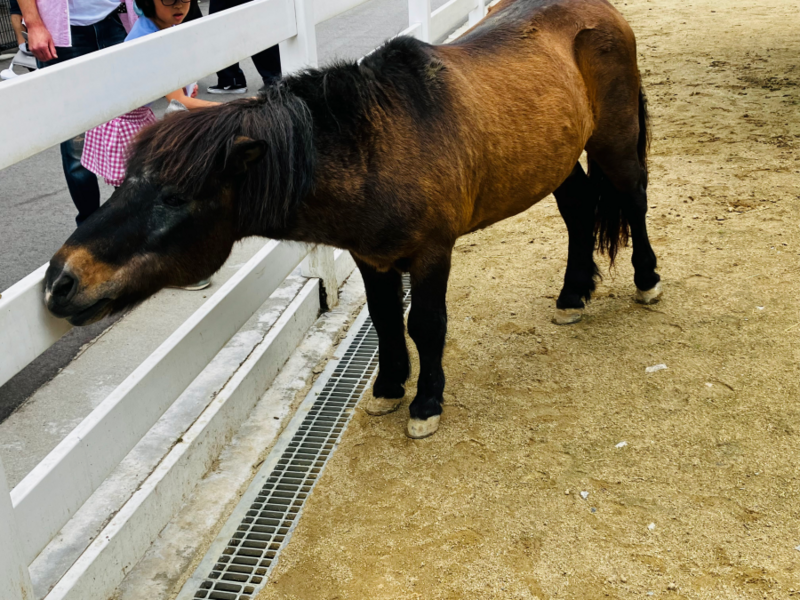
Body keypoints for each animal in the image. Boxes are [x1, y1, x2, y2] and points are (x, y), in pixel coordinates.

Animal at [47, 0, 664, 438]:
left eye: (175, 197)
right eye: (125, 180)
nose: (60, 281)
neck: (380, 145)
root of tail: (603, 11)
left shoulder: (432, 252)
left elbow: (425, 324)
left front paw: (426, 402)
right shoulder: (373, 257)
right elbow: (386, 320)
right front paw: (390, 387)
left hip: (612, 141)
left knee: (633, 199)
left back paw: (647, 279)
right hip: (557, 157)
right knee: (579, 211)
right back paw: (572, 294)